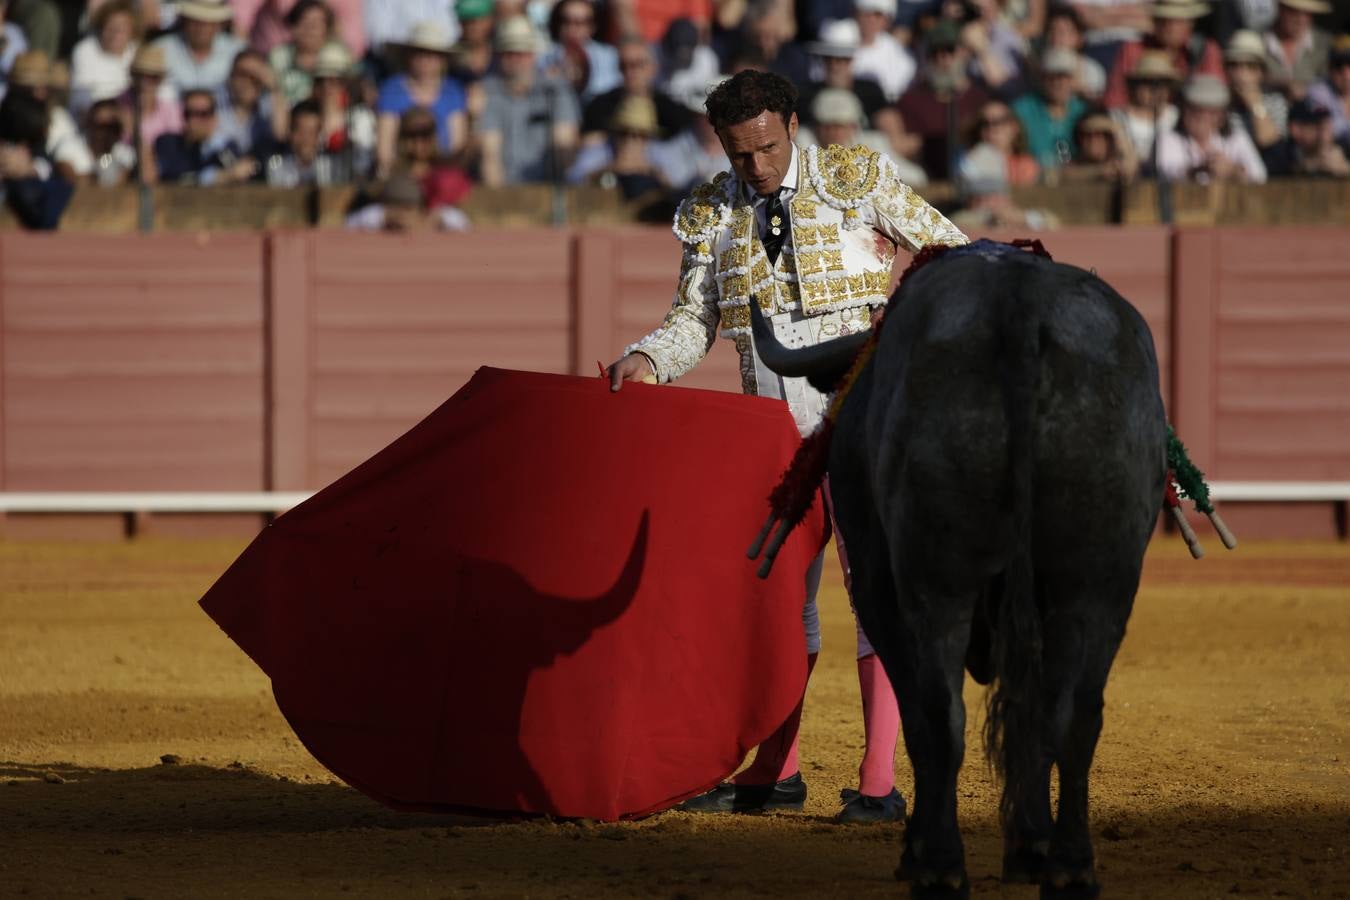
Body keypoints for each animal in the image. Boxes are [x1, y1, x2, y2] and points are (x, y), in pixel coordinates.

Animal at [756, 241, 1166, 900]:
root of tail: (1021, 306)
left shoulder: (878, 586)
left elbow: (920, 716)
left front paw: (925, 848)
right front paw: (1030, 846)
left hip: (934, 580)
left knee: (938, 713)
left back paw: (939, 866)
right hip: (1101, 578)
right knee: (1073, 714)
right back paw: (1069, 866)